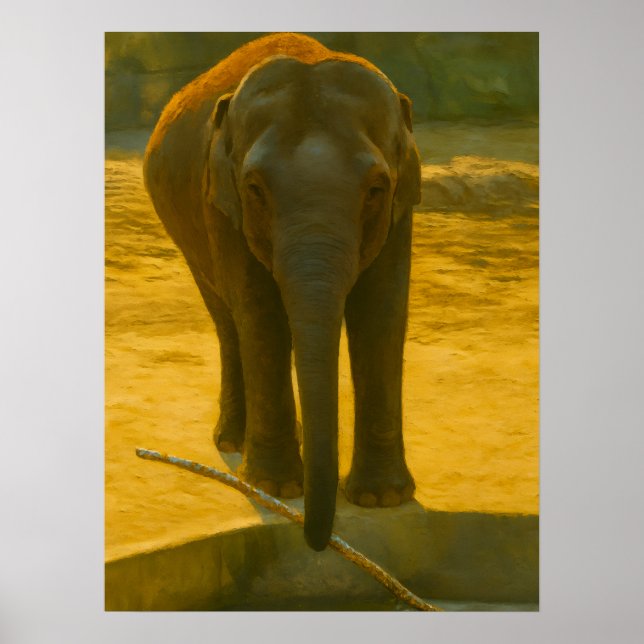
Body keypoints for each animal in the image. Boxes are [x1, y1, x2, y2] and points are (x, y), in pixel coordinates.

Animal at [143, 33, 421, 551]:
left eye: (376, 189)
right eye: (255, 188)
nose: (317, 542)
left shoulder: (402, 206)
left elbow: (381, 314)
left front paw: (382, 499)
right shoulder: (222, 201)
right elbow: (260, 314)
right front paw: (275, 486)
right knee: (227, 320)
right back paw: (232, 441)